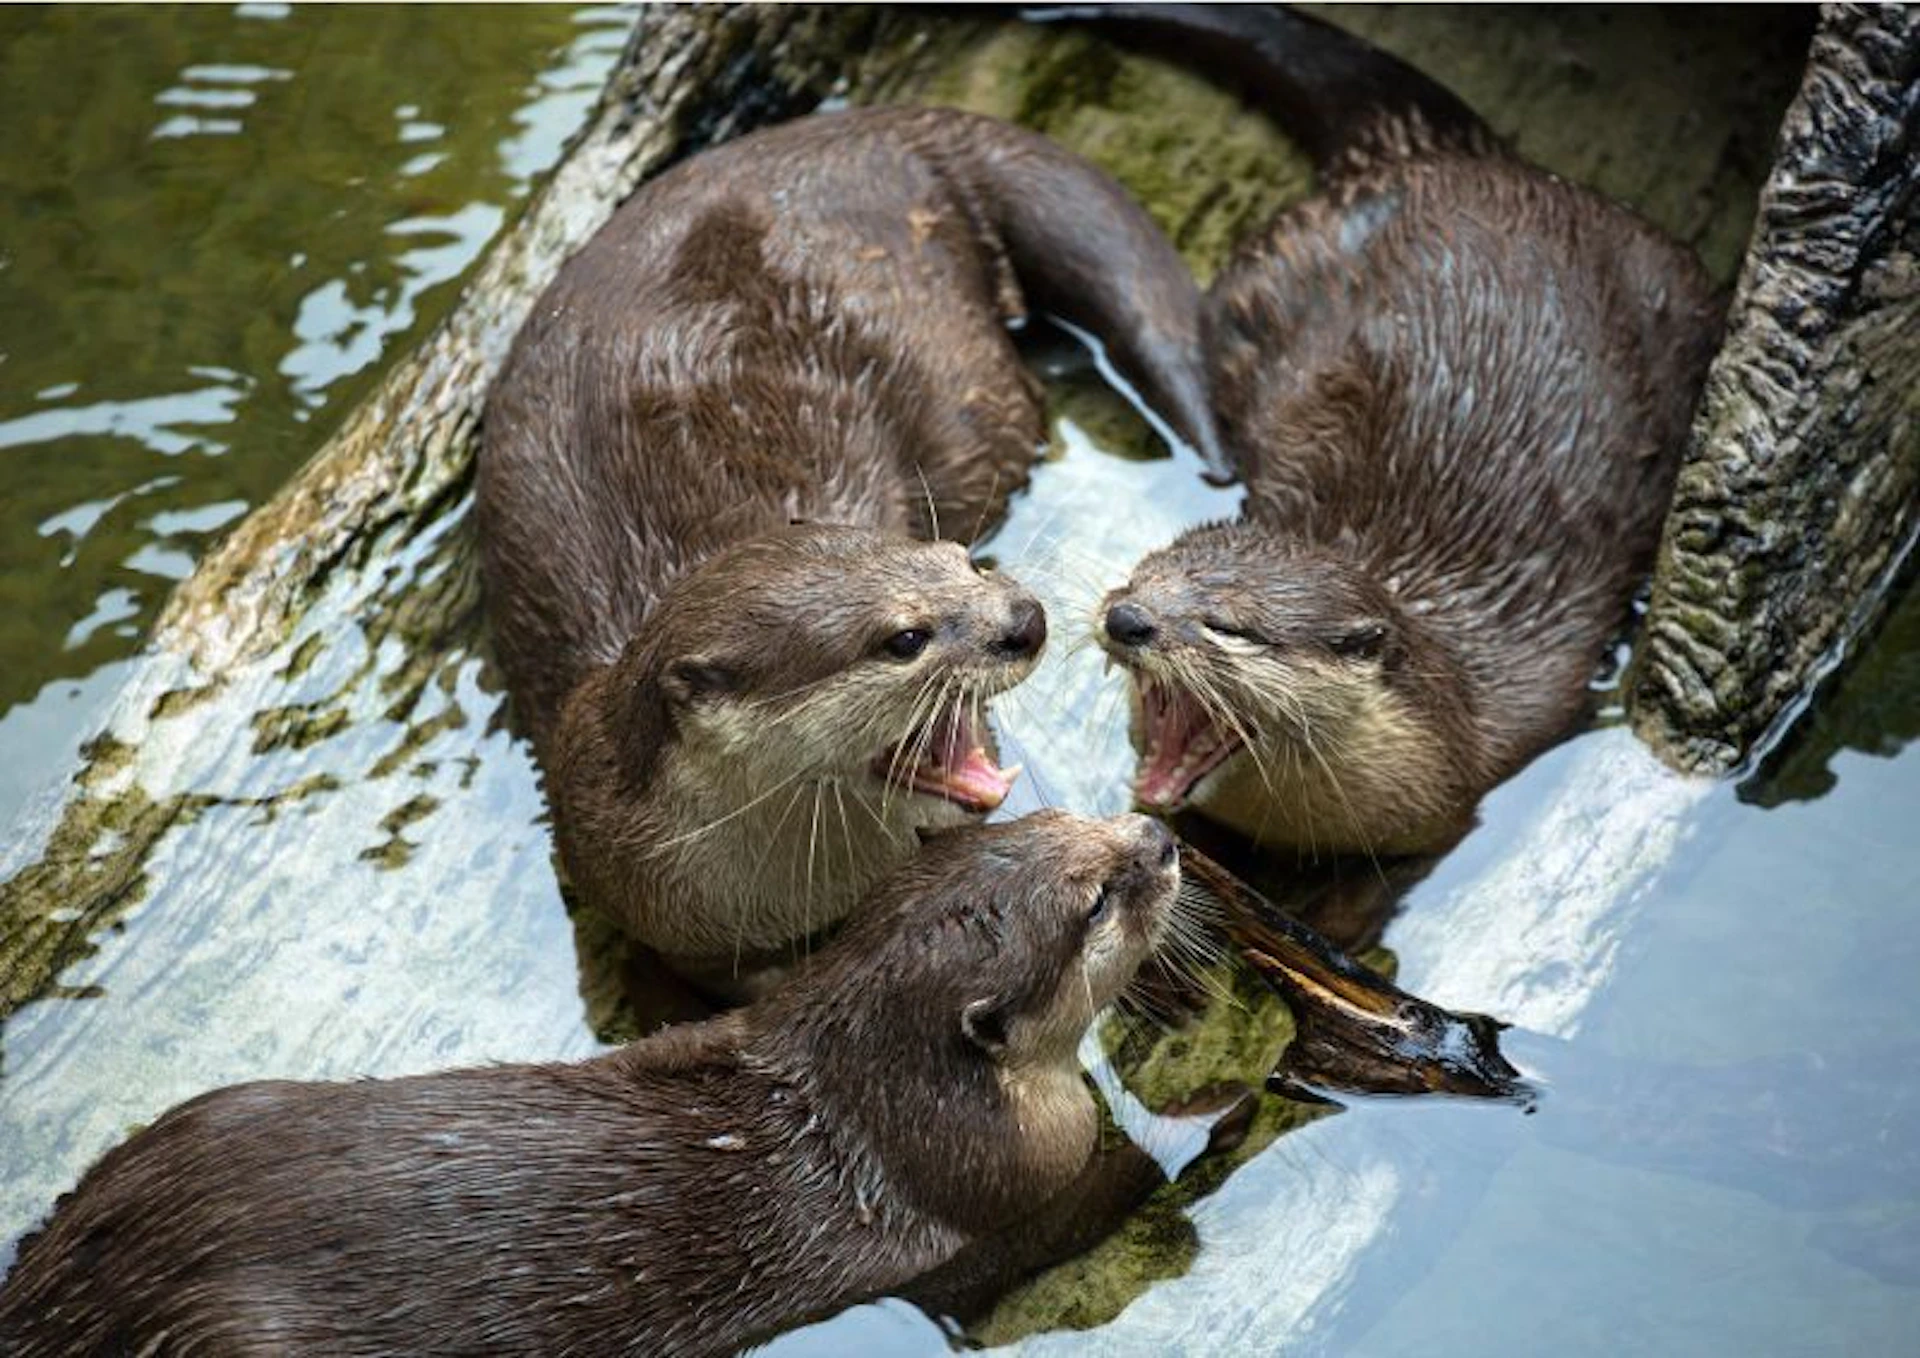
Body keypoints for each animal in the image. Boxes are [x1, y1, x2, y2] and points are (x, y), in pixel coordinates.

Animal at [0, 812, 1209, 1357]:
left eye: (1068, 821)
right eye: (1095, 898)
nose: (1156, 834)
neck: (876, 1110)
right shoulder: (1014, 1178)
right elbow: (1111, 1193)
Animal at [477, 107, 1224, 985]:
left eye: (962, 560)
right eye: (903, 638)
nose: (1026, 621)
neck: (800, 890)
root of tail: (879, 136)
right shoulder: (658, 909)